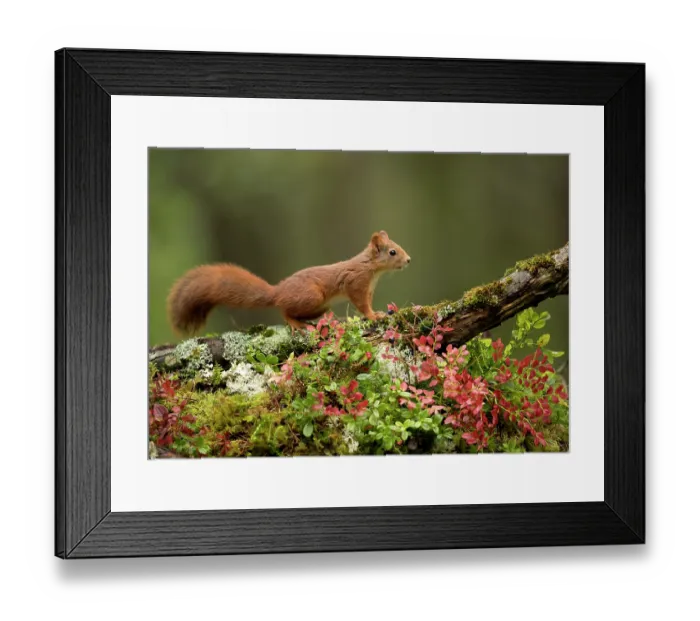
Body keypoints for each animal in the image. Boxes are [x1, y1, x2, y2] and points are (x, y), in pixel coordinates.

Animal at [167, 230, 411, 335]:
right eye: (392, 252)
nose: (409, 260)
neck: (371, 268)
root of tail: (277, 291)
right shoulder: (356, 282)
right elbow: (361, 304)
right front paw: (373, 316)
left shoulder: (368, 289)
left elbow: (367, 303)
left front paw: (375, 312)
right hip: (311, 296)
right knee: (284, 310)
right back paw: (295, 323)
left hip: (320, 305)